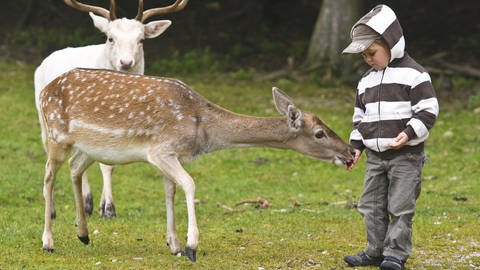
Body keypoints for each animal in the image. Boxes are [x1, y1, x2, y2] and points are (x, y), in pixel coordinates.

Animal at [33, 0, 188, 217]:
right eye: (110, 38)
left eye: (141, 40)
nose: (126, 62)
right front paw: (106, 208)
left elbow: (108, 163)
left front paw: (104, 207)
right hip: (46, 118)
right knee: (50, 153)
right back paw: (54, 208)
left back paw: (86, 203)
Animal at [39, 67, 354, 262]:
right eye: (320, 133)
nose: (351, 152)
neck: (202, 130)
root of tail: (44, 90)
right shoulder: (161, 150)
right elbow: (190, 185)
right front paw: (191, 246)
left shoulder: (169, 155)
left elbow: (170, 192)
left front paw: (174, 245)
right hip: (55, 135)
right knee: (48, 177)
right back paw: (48, 242)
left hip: (89, 148)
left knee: (75, 168)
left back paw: (83, 234)